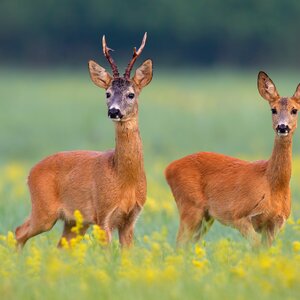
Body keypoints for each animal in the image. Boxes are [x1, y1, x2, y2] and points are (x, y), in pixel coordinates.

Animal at [15, 32, 152, 248]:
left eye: (131, 94)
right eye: (107, 93)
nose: (114, 111)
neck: (124, 179)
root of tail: (30, 172)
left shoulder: (131, 219)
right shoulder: (103, 214)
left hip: (73, 222)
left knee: (59, 245)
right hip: (44, 210)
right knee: (19, 232)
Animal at [165, 71, 298, 247]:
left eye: (294, 110)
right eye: (273, 110)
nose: (282, 127)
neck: (272, 184)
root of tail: (168, 169)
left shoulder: (275, 224)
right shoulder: (239, 215)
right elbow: (256, 247)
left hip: (206, 217)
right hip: (189, 206)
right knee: (179, 244)